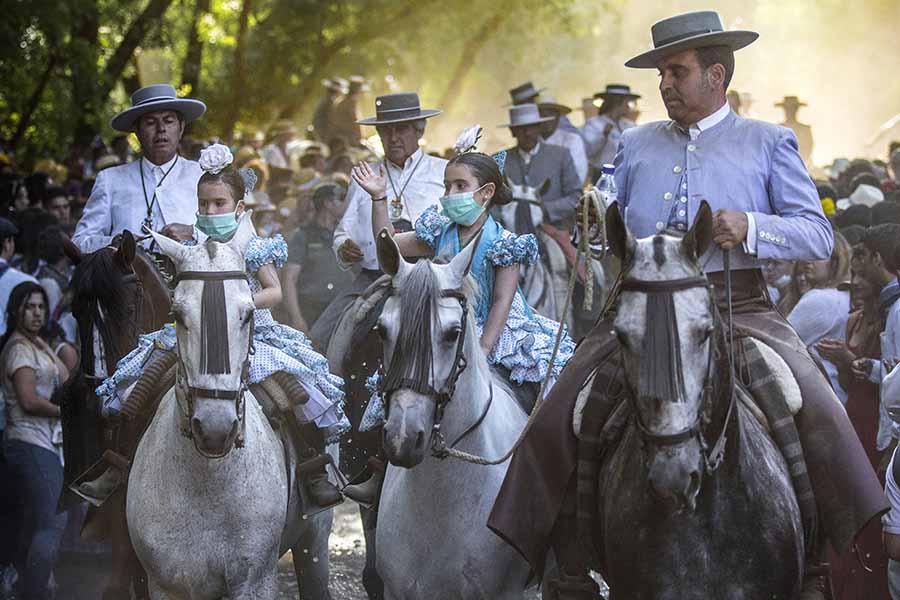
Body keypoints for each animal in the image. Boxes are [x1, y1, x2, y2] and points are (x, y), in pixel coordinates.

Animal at [127, 216, 306, 600]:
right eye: (177, 315)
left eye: (248, 313)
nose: (214, 429)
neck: (210, 482)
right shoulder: (167, 584)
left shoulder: (255, 579)